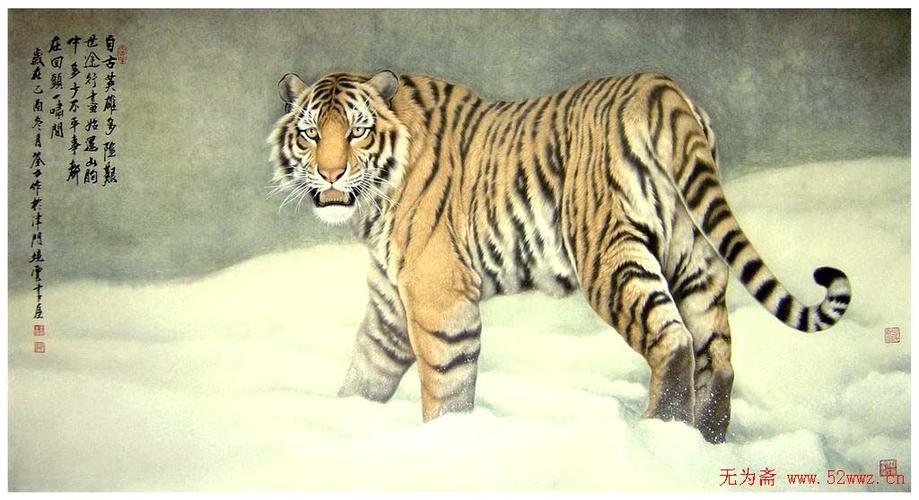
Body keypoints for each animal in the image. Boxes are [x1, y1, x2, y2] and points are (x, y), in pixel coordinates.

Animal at [268, 70, 851, 443]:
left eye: (358, 131)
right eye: (311, 133)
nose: (331, 174)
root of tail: (660, 88)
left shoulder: (437, 294)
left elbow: (445, 381)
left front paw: (443, 440)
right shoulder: (392, 302)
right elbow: (367, 370)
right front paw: (341, 419)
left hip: (609, 254)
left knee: (674, 341)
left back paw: (658, 438)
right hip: (694, 254)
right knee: (719, 357)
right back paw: (704, 445)